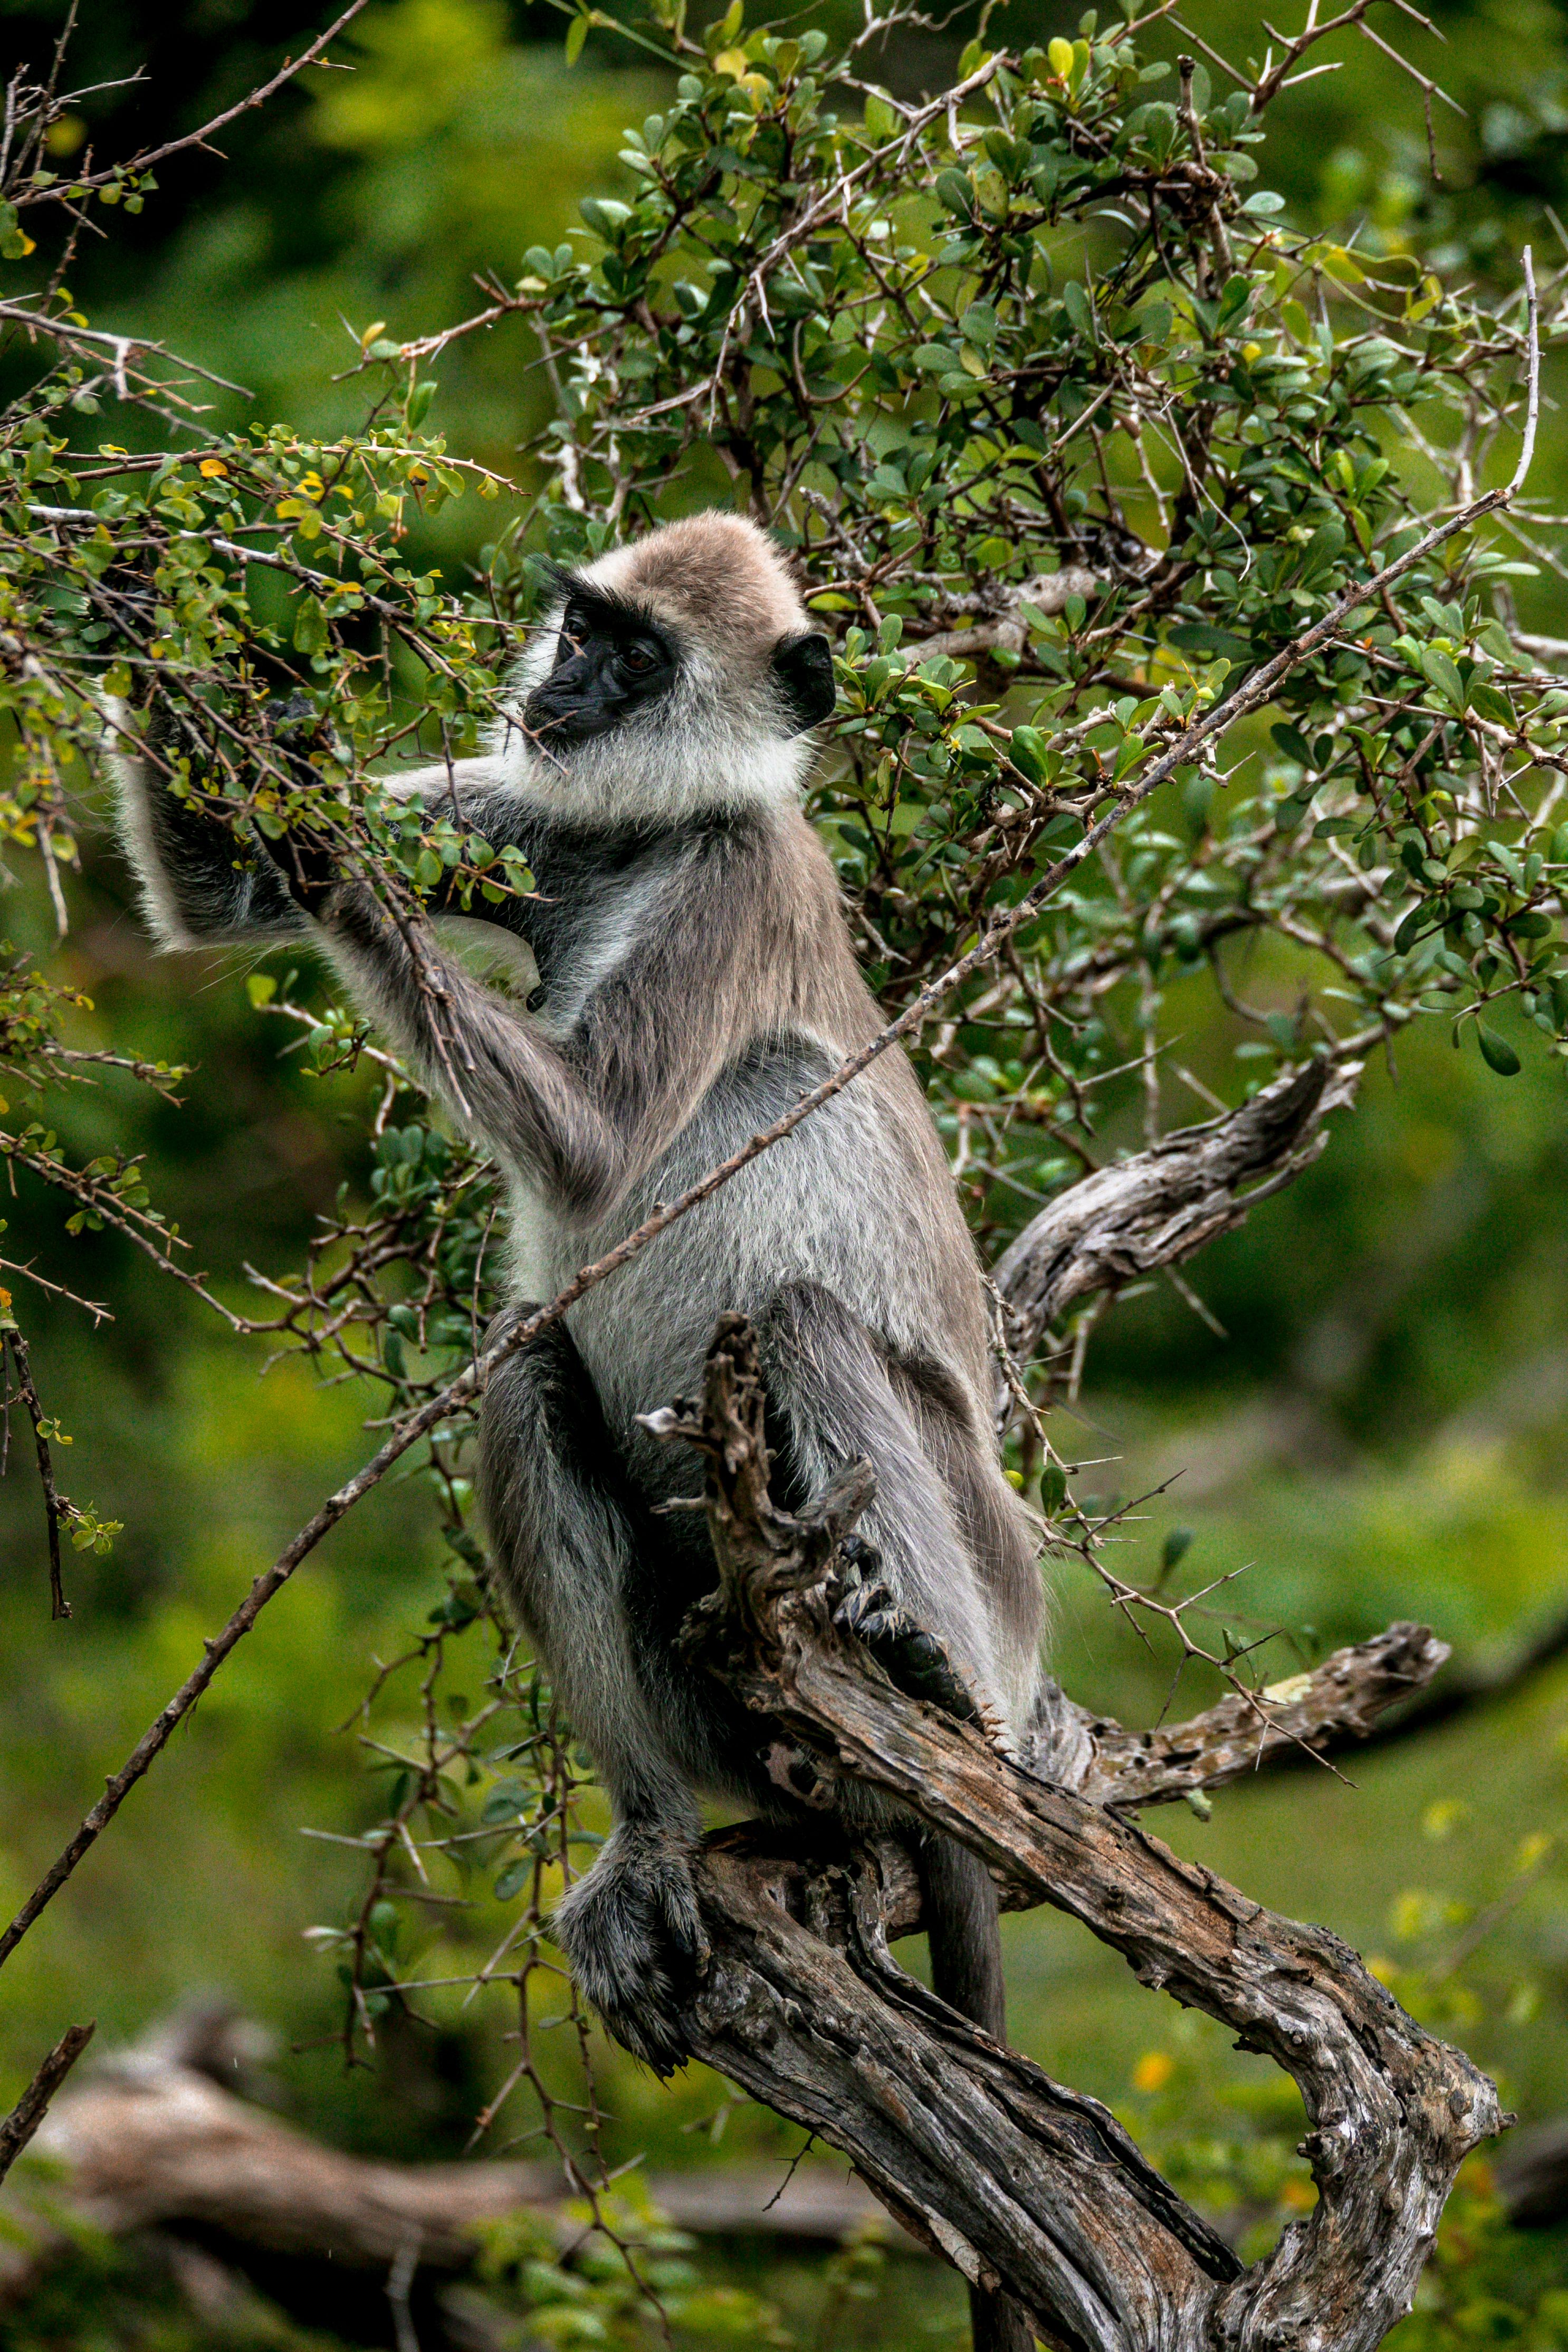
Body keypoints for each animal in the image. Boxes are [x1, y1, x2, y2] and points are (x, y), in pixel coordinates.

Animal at [116, 510, 1048, 2277]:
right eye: (580, 630)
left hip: (984, 1580)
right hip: (722, 1713)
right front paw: (154, 601)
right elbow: (212, 887)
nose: (558, 691)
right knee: (528, 1376)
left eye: (635, 657)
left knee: (802, 1322)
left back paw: (920, 1665)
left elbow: (597, 1150)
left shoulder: (737, 878)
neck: (661, 839)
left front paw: (315, 817)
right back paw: (653, 1836)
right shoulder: (550, 823)